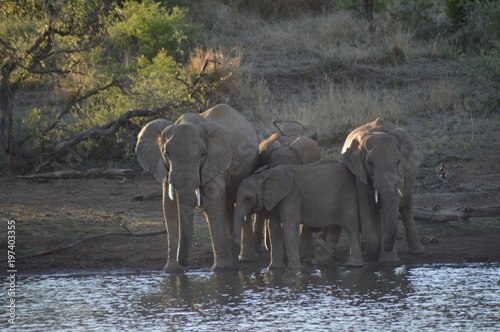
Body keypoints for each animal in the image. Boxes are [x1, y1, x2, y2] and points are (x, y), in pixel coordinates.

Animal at [135, 104, 258, 272]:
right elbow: (169, 207)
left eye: (203, 154)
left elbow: (213, 206)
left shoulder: (215, 162)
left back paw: (244, 260)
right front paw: (172, 271)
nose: (185, 265)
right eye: (166, 153)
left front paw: (221, 270)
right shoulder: (166, 170)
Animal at [234, 160, 364, 272]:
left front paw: (294, 270)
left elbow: (289, 226)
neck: (264, 176)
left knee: (350, 226)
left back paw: (353, 265)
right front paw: (273, 269)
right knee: (334, 227)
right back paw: (323, 262)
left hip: (348, 194)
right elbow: (274, 228)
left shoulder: (291, 196)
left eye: (248, 199)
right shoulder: (273, 200)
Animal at [342, 117, 424, 264]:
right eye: (369, 163)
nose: (385, 246)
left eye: (398, 162)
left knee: (405, 207)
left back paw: (416, 251)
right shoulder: (359, 171)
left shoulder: (400, 172)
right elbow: (366, 205)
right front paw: (375, 253)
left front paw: (389, 262)